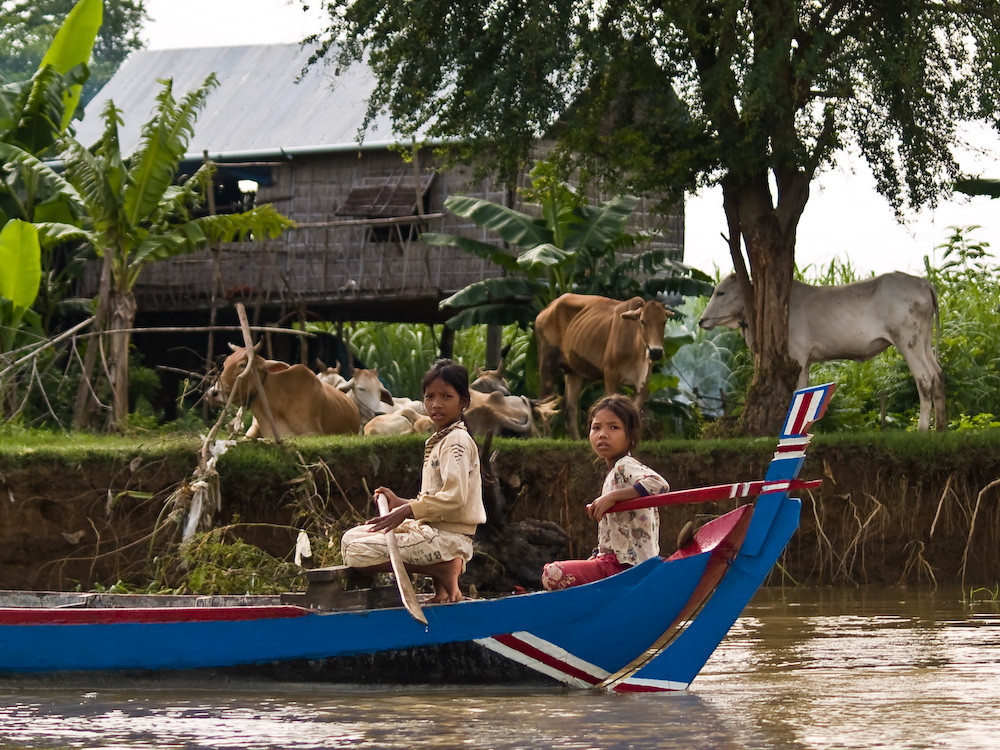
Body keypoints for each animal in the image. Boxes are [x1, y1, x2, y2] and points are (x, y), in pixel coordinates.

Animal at [536, 294, 668, 440]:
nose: (655, 351)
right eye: (643, 321)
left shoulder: (644, 381)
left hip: (573, 371)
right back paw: (547, 437)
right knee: (544, 403)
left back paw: (576, 438)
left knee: (569, 406)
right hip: (547, 364)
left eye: (664, 321)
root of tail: (548, 308)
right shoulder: (610, 374)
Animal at [696, 274, 944, 432]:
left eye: (721, 292)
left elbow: (799, 391)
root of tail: (922, 282)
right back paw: (940, 428)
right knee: (938, 375)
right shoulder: (805, 361)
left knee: (925, 378)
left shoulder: (798, 355)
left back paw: (923, 429)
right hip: (924, 342)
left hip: (908, 341)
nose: (701, 320)